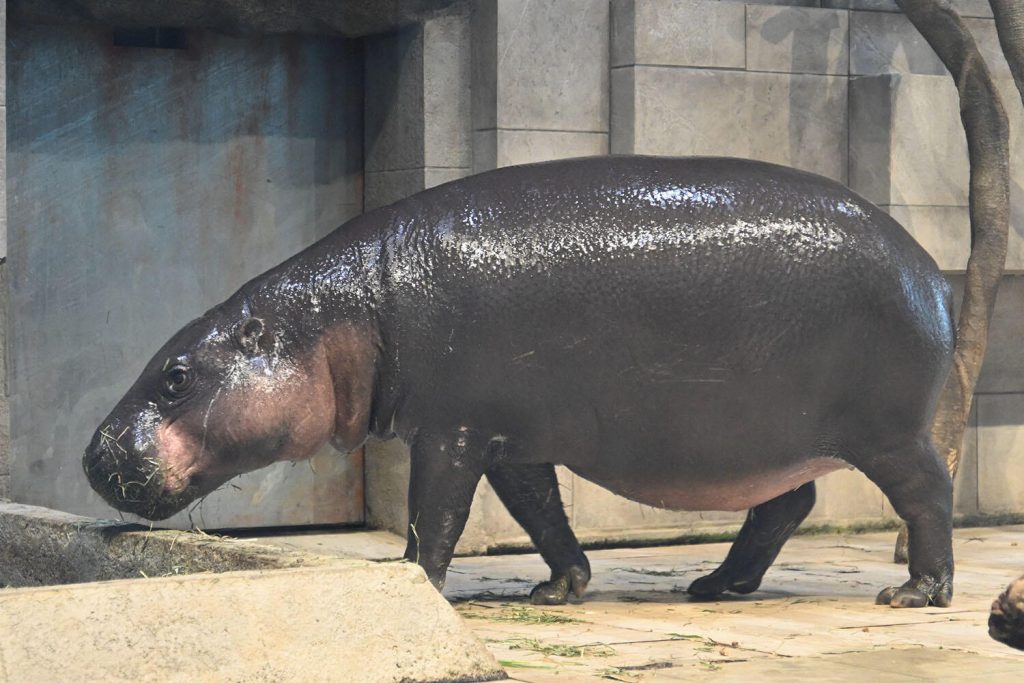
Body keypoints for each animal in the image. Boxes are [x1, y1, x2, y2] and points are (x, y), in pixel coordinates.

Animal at [83, 158, 954, 610]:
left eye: (175, 375)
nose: (91, 455)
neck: (347, 309)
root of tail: (932, 271)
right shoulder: (509, 437)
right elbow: (540, 512)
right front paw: (557, 590)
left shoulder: (451, 429)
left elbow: (435, 512)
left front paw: (413, 582)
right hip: (780, 438)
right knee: (787, 503)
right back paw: (712, 585)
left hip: (886, 430)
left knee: (926, 493)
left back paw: (915, 593)